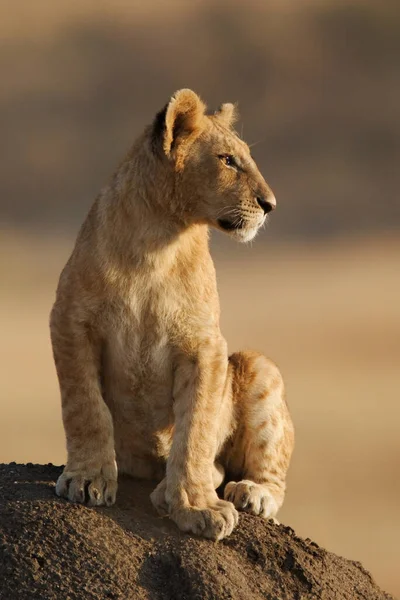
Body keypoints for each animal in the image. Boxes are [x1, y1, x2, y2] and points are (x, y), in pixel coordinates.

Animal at [50, 90, 294, 544]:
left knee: (262, 471)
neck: (157, 241)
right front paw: (88, 479)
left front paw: (197, 506)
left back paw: (248, 493)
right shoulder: (71, 322)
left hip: (257, 365)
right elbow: (85, 407)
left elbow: (195, 429)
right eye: (228, 160)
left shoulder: (206, 346)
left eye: (245, 157)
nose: (270, 205)